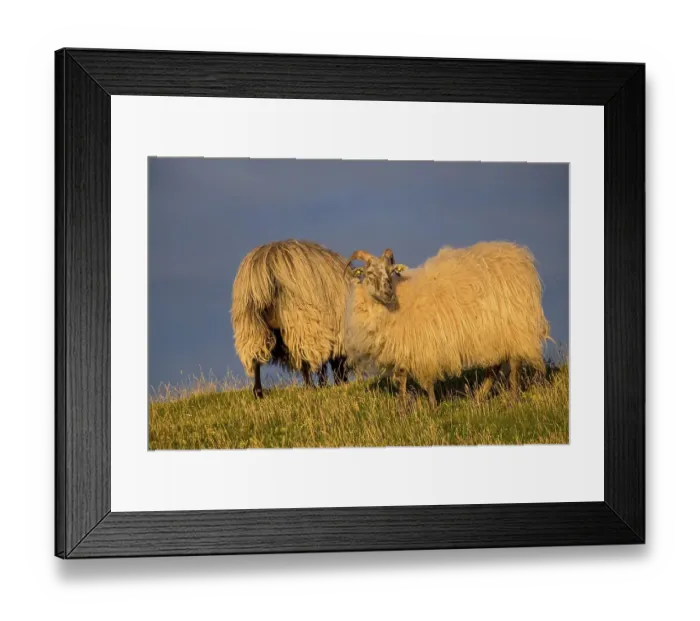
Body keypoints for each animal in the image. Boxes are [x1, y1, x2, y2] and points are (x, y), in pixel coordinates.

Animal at [231, 239, 351, 398]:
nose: (343, 382)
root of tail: (265, 267)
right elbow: (323, 363)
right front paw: (324, 385)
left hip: (251, 325)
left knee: (255, 357)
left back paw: (258, 392)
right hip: (299, 320)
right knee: (304, 357)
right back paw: (310, 387)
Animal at [343, 243, 551, 408]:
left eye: (391, 271)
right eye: (369, 273)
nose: (388, 293)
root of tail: (519, 258)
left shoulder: (420, 344)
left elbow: (421, 378)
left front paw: (430, 407)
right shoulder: (404, 346)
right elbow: (401, 377)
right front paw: (404, 409)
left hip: (515, 325)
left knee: (514, 363)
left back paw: (512, 401)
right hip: (494, 332)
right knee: (495, 365)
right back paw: (478, 399)